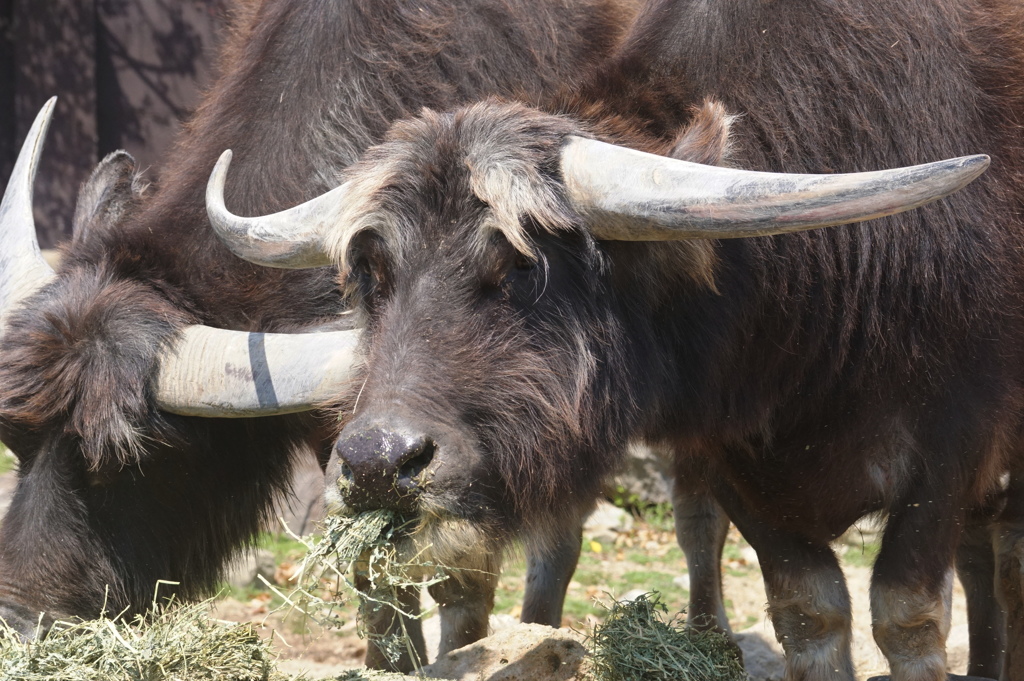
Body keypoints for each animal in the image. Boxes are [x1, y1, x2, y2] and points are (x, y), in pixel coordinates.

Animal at [0, 0, 630, 667]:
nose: (19, 622)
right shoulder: (361, 440)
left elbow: (460, 580)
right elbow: (374, 576)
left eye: (126, 460)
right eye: (15, 439)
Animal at [203, 1, 1019, 679]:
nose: (377, 461)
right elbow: (810, 610)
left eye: (518, 266)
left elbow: (907, 617)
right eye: (372, 276)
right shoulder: (731, 456)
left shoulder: (951, 450)